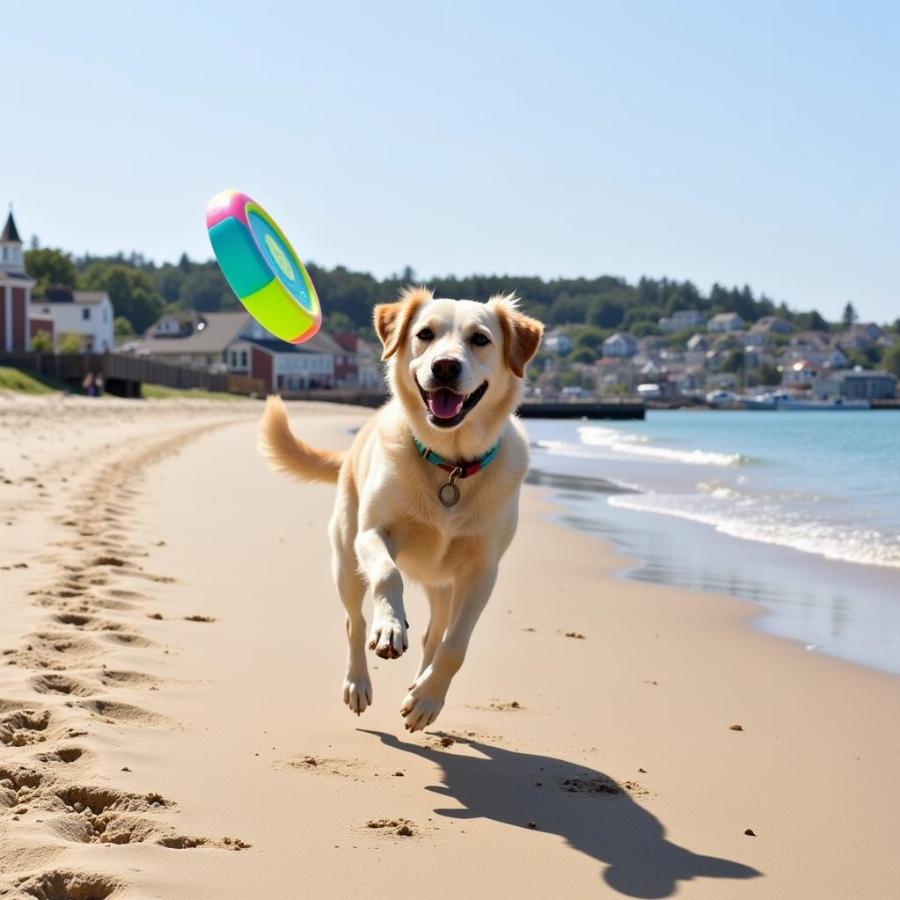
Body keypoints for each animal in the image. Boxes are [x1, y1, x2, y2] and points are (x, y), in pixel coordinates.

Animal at [260, 288, 540, 732]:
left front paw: (426, 698)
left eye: (480, 339)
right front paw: (390, 628)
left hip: (443, 585)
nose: (445, 366)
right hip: (346, 561)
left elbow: (455, 645)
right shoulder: (372, 534)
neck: (449, 464)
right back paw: (358, 681)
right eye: (425, 334)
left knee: (435, 635)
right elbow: (388, 576)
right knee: (354, 621)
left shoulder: (482, 571)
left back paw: (420, 686)